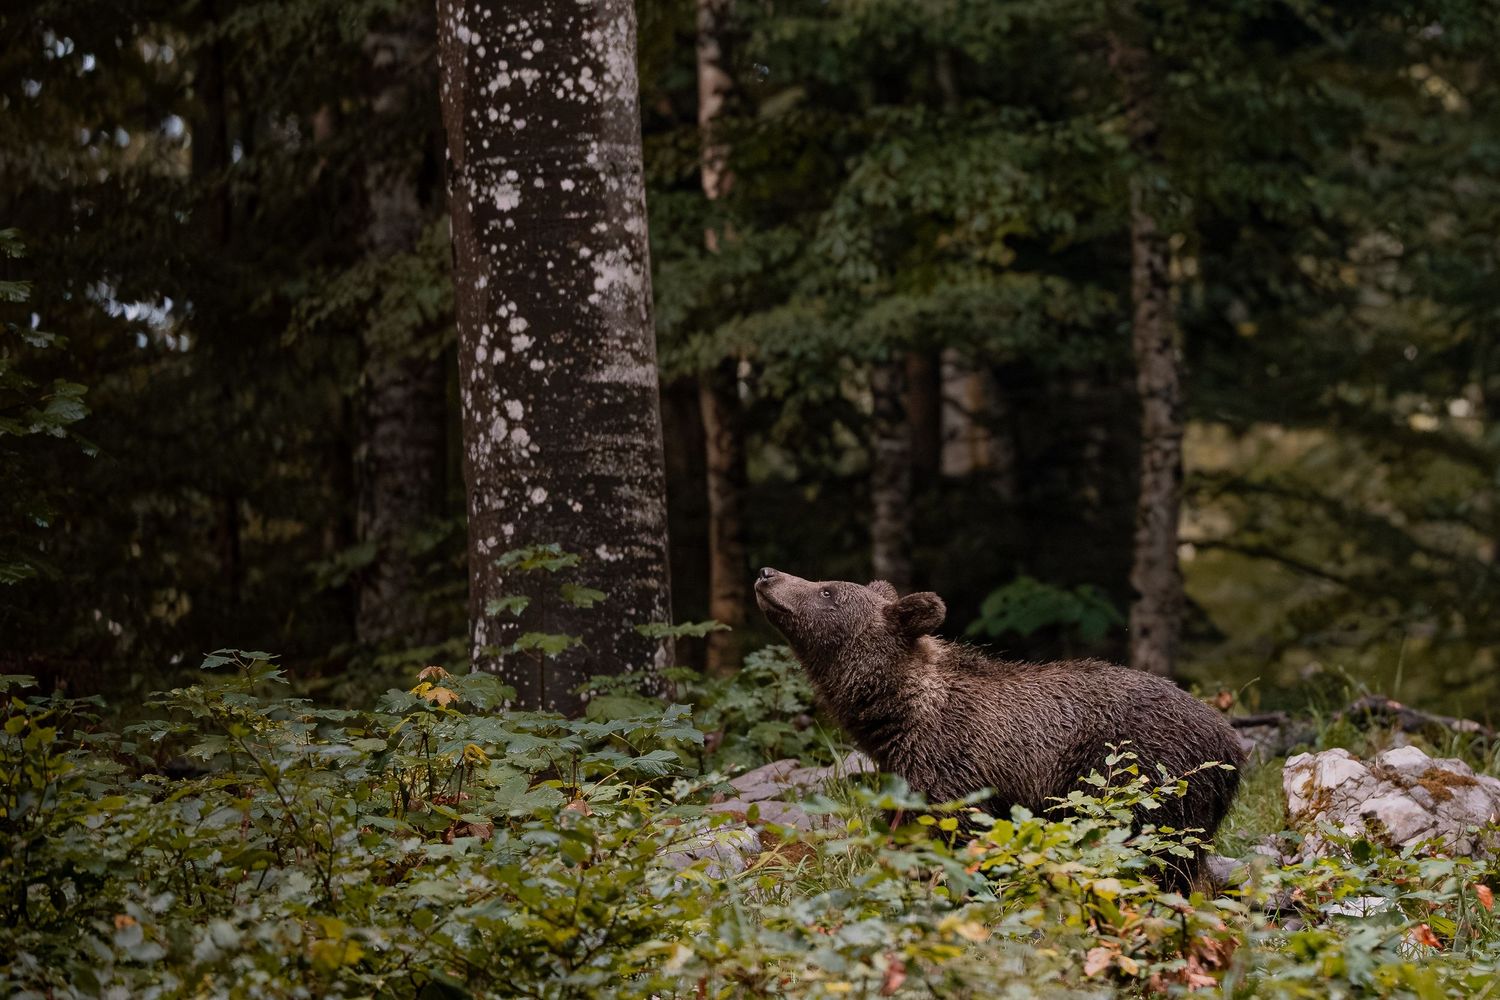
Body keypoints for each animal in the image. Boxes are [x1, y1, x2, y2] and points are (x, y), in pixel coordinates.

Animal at [753, 567, 1245, 890]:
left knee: (1153, 855)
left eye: (827, 590)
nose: (766, 572)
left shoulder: (957, 766)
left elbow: (958, 834)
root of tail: (1231, 745)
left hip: (1142, 780)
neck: (898, 712)